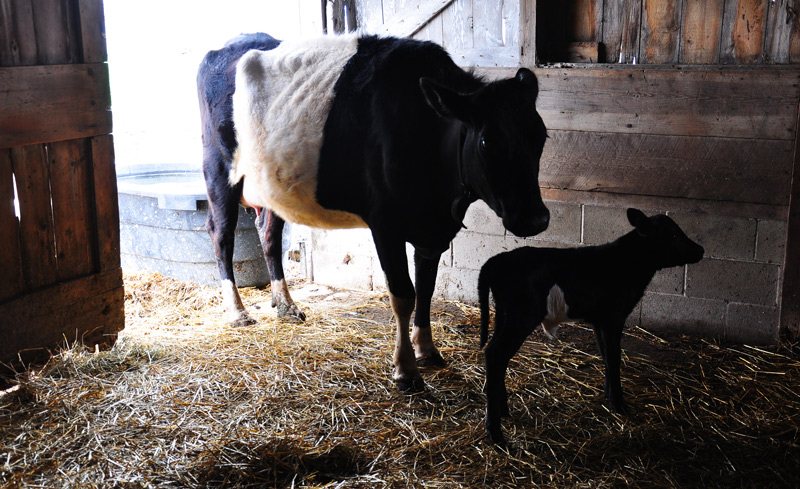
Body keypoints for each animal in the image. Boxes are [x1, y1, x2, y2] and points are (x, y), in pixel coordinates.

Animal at [197, 33, 550, 392]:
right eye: (486, 142)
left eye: (541, 137)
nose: (536, 218)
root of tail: (226, 46)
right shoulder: (385, 224)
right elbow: (403, 294)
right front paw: (406, 369)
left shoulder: (432, 230)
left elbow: (426, 289)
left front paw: (427, 350)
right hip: (218, 170)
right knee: (221, 236)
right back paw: (237, 312)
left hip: (272, 186)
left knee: (267, 234)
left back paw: (285, 305)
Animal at [478, 208, 704, 444]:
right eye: (675, 234)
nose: (701, 250)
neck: (628, 262)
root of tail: (497, 260)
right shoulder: (614, 317)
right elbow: (614, 357)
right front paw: (619, 404)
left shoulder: (599, 320)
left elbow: (605, 355)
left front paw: (609, 394)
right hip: (522, 317)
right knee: (495, 354)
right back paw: (495, 432)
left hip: (503, 315)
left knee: (495, 354)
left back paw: (503, 409)